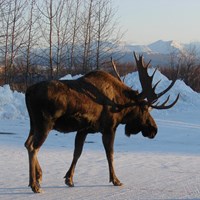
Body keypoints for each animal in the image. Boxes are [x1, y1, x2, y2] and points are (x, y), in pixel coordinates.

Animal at [24, 52, 179, 193]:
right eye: (145, 109)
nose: (154, 129)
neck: (122, 105)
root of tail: (28, 91)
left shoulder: (83, 129)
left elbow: (77, 152)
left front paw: (69, 179)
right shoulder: (109, 128)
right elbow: (110, 153)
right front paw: (115, 180)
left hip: (33, 124)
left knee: (27, 144)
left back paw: (38, 176)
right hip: (45, 124)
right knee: (33, 147)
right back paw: (34, 185)